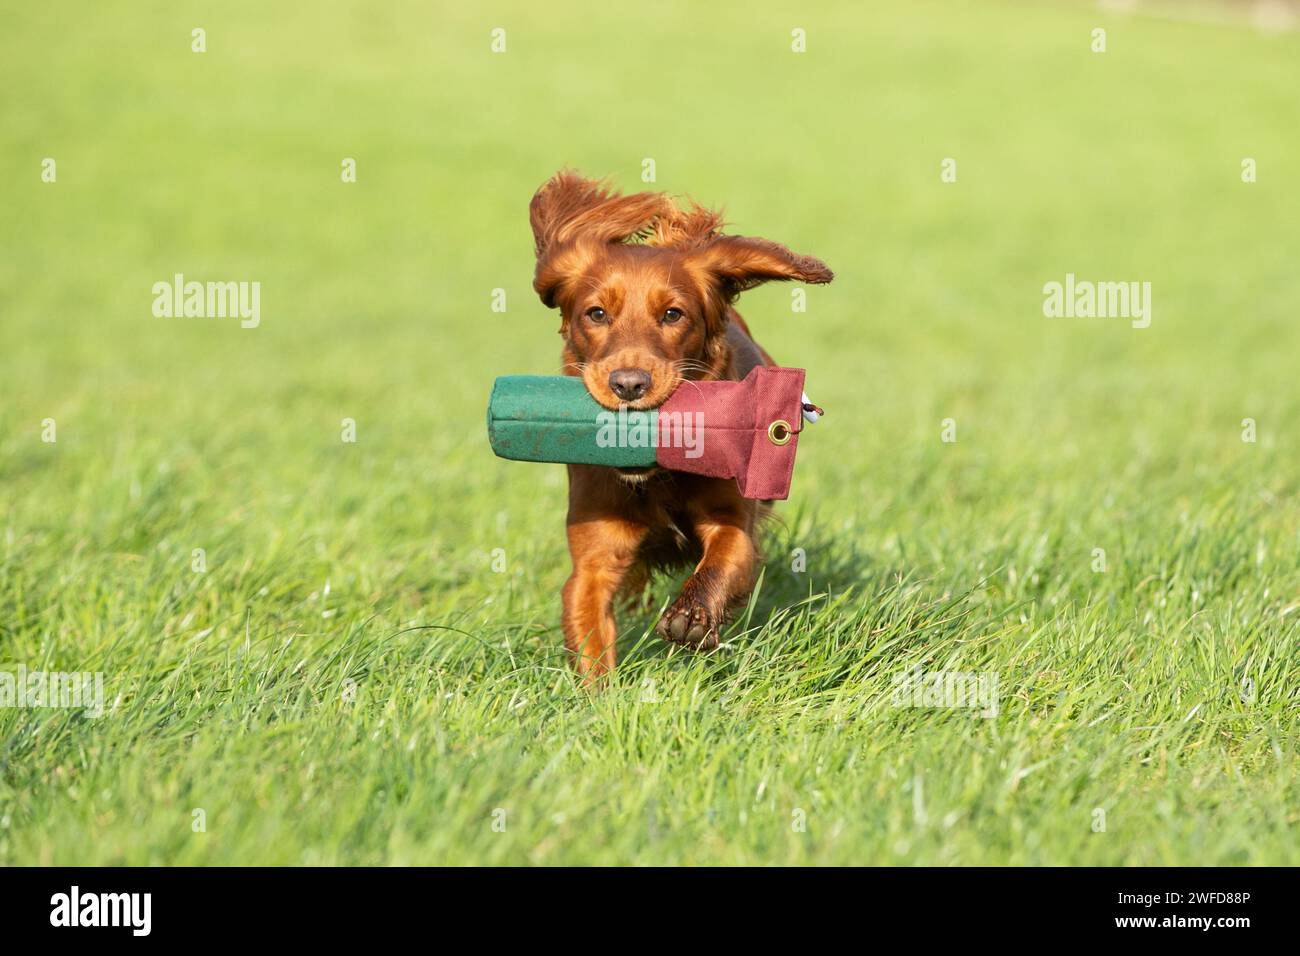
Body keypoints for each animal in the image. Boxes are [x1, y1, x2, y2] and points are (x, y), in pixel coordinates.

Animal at [527, 170, 832, 681]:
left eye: (673, 314)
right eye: (596, 313)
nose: (629, 384)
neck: (656, 479)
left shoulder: (735, 520)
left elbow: (723, 558)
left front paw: (691, 615)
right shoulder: (593, 558)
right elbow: (589, 626)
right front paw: (601, 697)